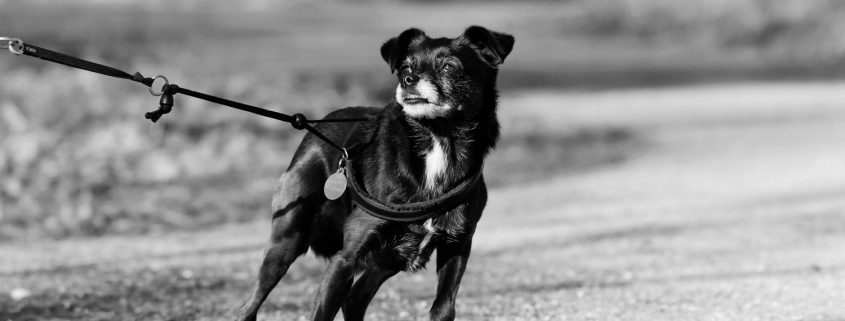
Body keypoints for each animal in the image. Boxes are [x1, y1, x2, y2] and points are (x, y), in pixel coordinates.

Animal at [236, 25, 516, 320]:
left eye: (449, 67)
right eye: (405, 67)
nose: (408, 79)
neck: (437, 139)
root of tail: (315, 127)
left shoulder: (457, 245)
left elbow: (442, 309)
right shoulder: (344, 259)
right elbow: (323, 312)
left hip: (390, 257)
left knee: (355, 299)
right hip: (288, 239)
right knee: (250, 306)